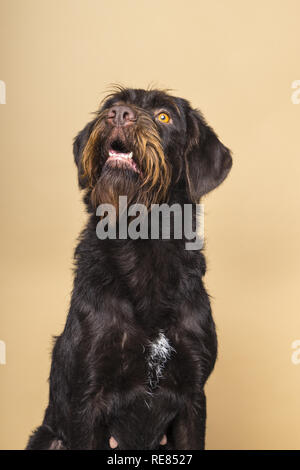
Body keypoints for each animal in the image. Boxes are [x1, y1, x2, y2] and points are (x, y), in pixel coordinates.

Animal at [26, 86, 232, 450]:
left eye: (164, 116)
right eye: (110, 106)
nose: (119, 114)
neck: (144, 243)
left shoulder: (194, 397)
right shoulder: (86, 399)